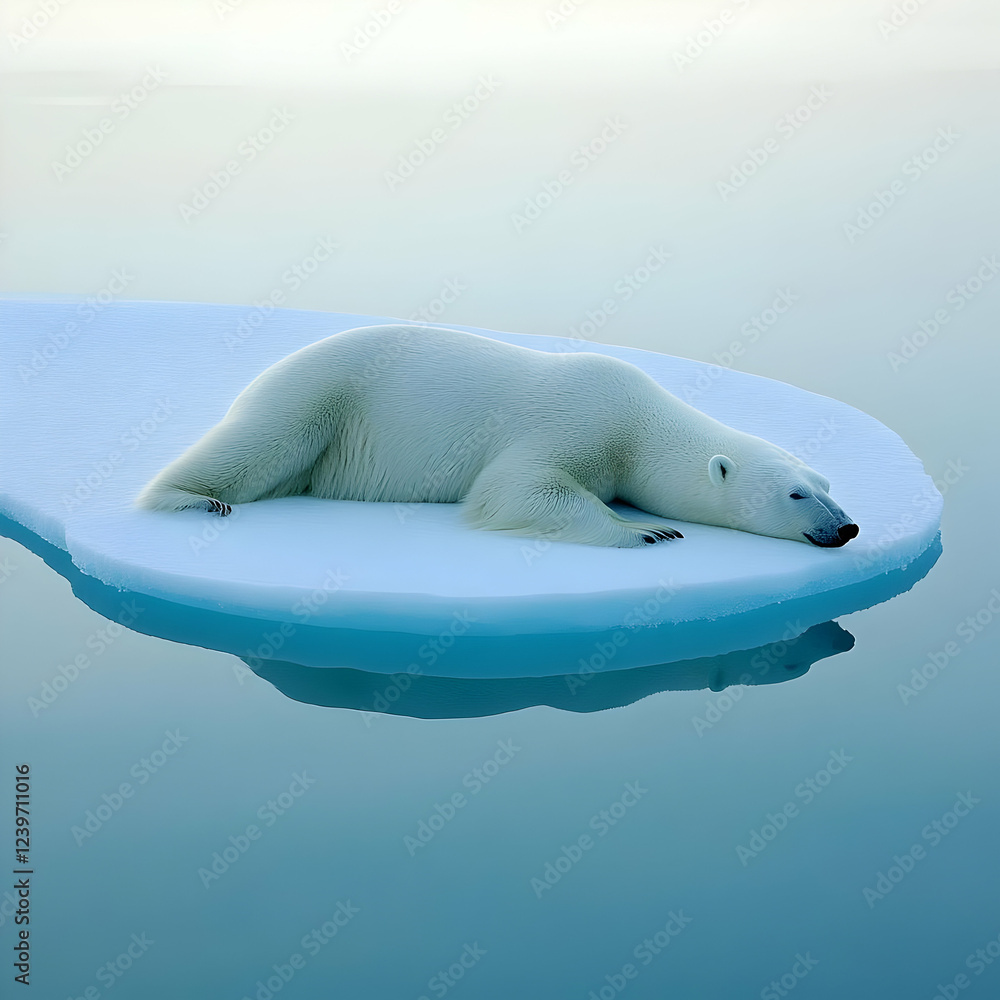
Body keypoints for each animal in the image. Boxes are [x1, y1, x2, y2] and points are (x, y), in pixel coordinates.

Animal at [135, 324, 859, 549]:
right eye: (796, 495)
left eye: (827, 483)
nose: (847, 527)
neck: (640, 419)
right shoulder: (577, 417)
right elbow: (515, 487)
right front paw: (646, 530)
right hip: (321, 395)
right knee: (255, 445)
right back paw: (190, 498)